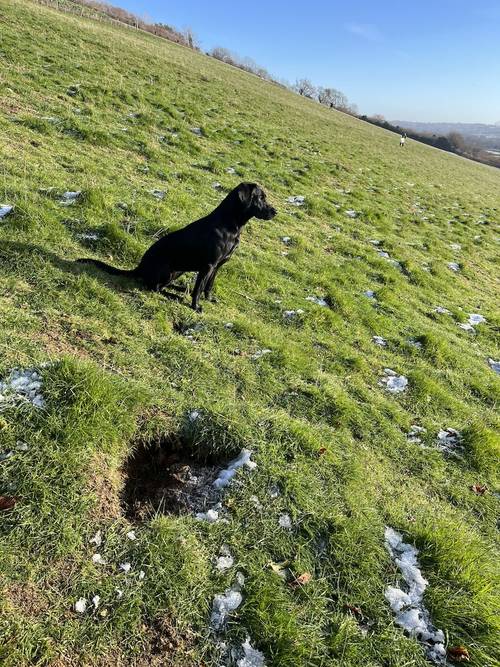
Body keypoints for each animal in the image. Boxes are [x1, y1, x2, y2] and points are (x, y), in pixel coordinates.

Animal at [77, 184, 278, 312]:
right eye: (260, 197)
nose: (275, 212)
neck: (231, 224)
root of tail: (139, 268)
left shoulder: (217, 266)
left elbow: (208, 286)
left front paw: (209, 299)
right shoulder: (208, 266)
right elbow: (198, 289)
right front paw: (196, 307)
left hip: (179, 270)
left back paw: (181, 290)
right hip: (167, 269)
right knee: (155, 287)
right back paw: (175, 295)